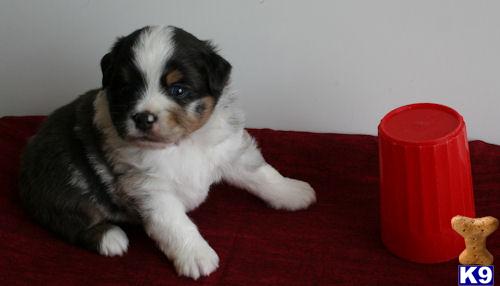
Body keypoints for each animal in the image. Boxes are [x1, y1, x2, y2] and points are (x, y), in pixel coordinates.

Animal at [20, 25, 316, 280]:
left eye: (178, 89)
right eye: (127, 89)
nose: (143, 118)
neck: (182, 143)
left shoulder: (229, 151)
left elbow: (263, 174)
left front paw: (293, 192)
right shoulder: (150, 189)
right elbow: (176, 225)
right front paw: (196, 256)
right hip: (64, 181)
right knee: (71, 220)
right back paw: (110, 238)